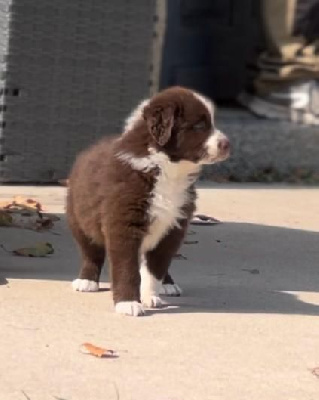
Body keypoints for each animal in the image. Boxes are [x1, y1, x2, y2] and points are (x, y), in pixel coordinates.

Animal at [67, 86, 230, 316]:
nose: (227, 144)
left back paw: (168, 284)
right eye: (199, 125)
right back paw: (87, 280)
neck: (167, 170)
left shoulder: (172, 228)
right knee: (91, 251)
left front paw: (150, 295)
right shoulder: (123, 225)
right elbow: (127, 268)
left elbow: (155, 268)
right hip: (79, 219)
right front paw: (128, 303)